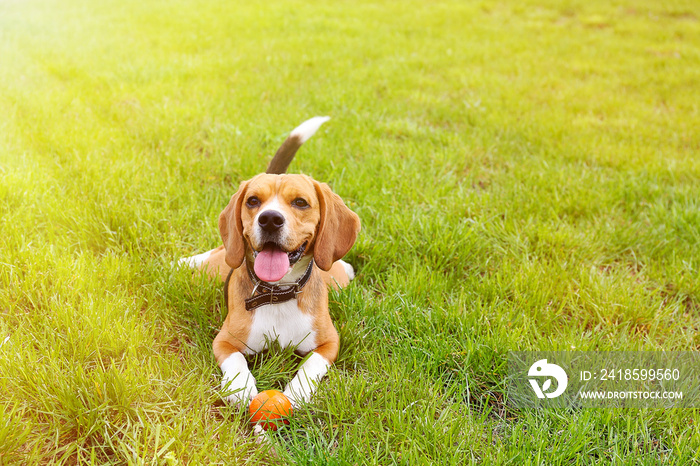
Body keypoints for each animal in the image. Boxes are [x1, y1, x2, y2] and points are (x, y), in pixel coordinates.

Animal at [180, 117, 360, 408]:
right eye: (253, 200)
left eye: (300, 202)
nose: (270, 219)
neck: (279, 293)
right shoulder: (224, 341)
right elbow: (235, 359)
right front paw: (240, 386)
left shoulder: (329, 344)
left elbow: (310, 366)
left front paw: (297, 394)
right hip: (219, 263)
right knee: (215, 253)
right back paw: (184, 262)